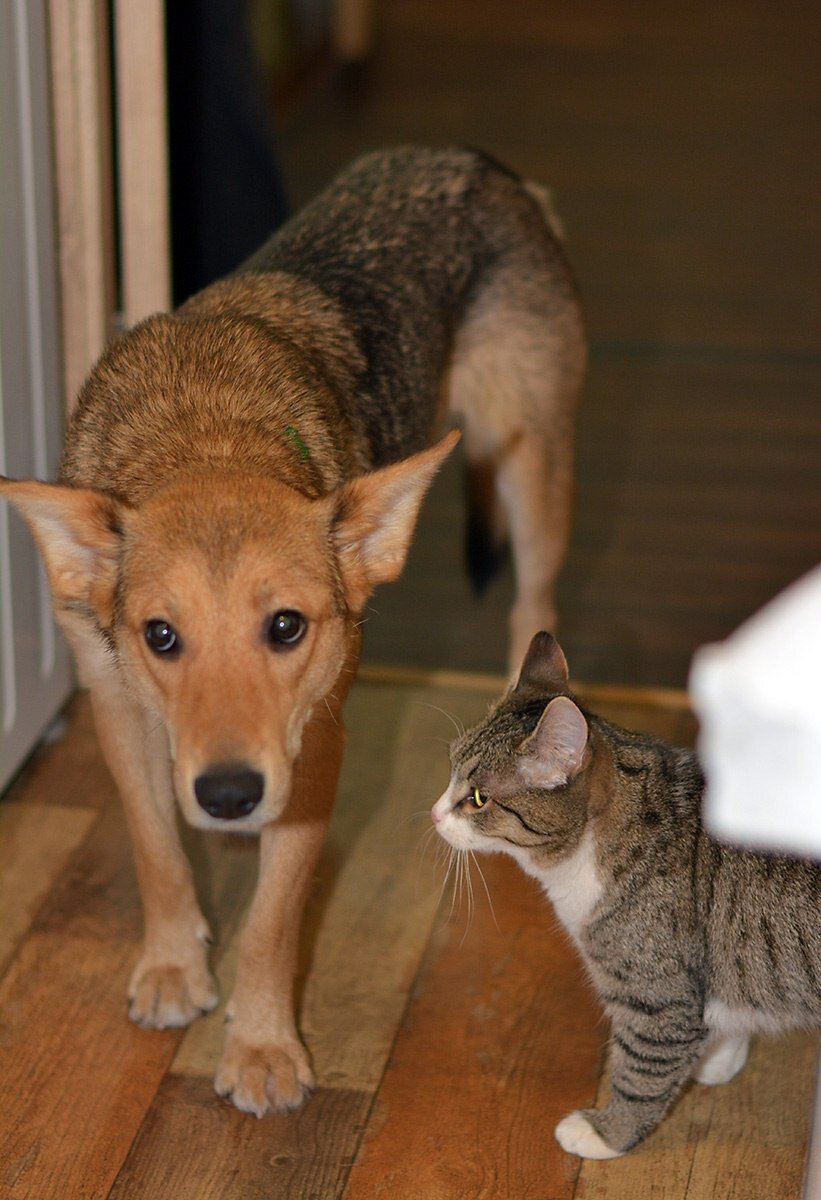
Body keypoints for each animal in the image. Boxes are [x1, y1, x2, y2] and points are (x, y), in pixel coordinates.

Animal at [0, 147, 583, 1113]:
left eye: (285, 626)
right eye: (160, 637)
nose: (231, 795)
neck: (205, 431)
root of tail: (476, 163)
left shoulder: (318, 745)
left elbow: (274, 920)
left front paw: (264, 1049)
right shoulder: (115, 707)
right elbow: (156, 848)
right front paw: (173, 967)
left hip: (530, 466)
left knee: (531, 610)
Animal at [432, 633, 816, 1156]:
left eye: (477, 799)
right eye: (452, 768)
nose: (433, 814)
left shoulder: (655, 994)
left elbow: (642, 1070)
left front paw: (605, 1133)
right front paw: (719, 1057)